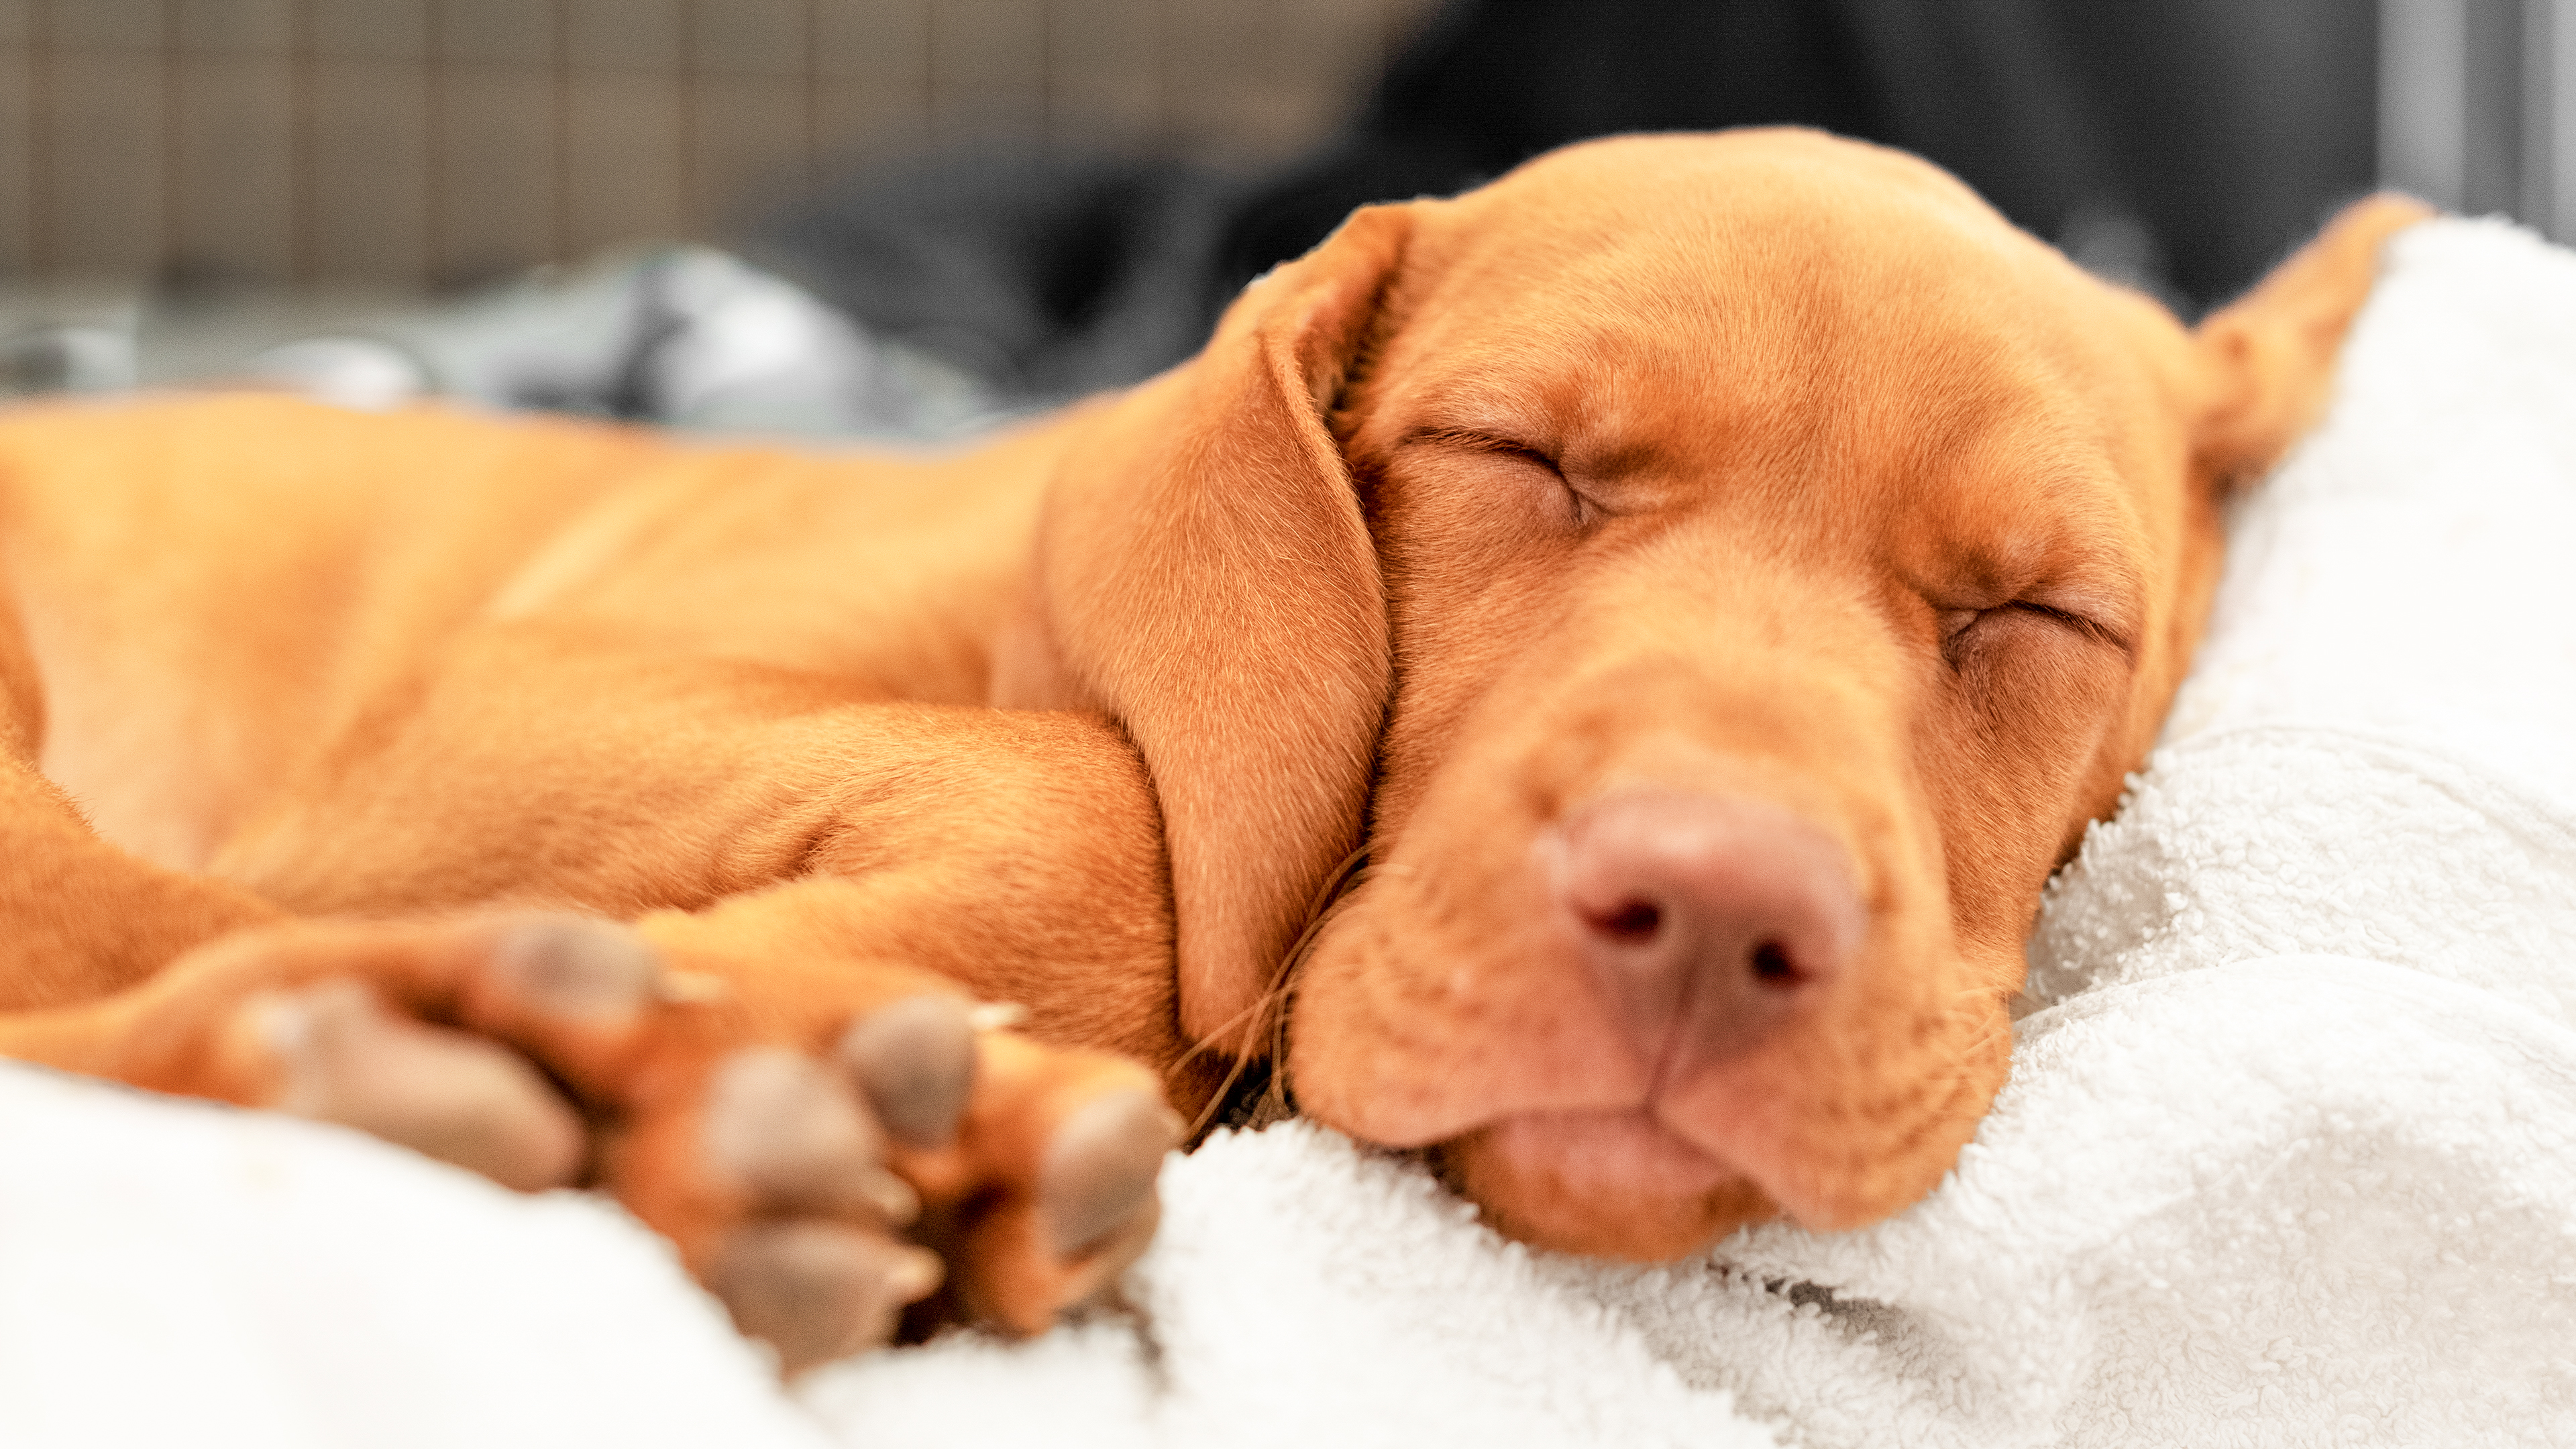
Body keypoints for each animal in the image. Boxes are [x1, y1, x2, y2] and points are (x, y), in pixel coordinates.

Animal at [0, 129, 2421, 1361]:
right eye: (1522, 459)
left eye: (2039, 615)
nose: (1718, 907)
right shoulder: (463, 722)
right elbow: (1106, 826)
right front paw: (788, 1006)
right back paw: (601, 1072)